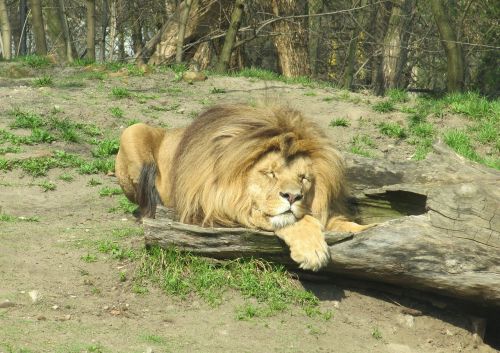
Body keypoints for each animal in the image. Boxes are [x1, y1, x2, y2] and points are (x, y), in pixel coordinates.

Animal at [114, 103, 372, 270]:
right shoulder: (212, 209)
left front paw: (373, 231)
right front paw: (312, 250)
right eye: (270, 173)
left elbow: (340, 223)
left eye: (304, 178)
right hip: (133, 131)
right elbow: (292, 220)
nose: (292, 197)